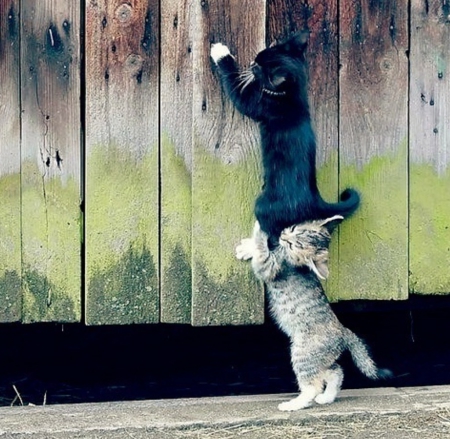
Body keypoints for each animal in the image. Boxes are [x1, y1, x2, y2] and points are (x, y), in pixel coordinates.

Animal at [210, 31, 358, 244]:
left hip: (264, 205)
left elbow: (237, 88)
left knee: (272, 234)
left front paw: (221, 53)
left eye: (258, 67)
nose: (252, 64)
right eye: (258, 57)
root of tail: (315, 201)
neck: (291, 95)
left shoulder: (257, 103)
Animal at [236, 218, 390, 410]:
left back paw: (292, 405)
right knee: (336, 371)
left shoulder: (269, 267)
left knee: (313, 386)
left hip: (303, 355)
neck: (289, 257)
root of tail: (343, 332)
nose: (282, 235)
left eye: (293, 245)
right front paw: (248, 247)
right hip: (318, 360)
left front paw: (257, 233)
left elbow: (262, 250)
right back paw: (327, 398)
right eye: (293, 229)